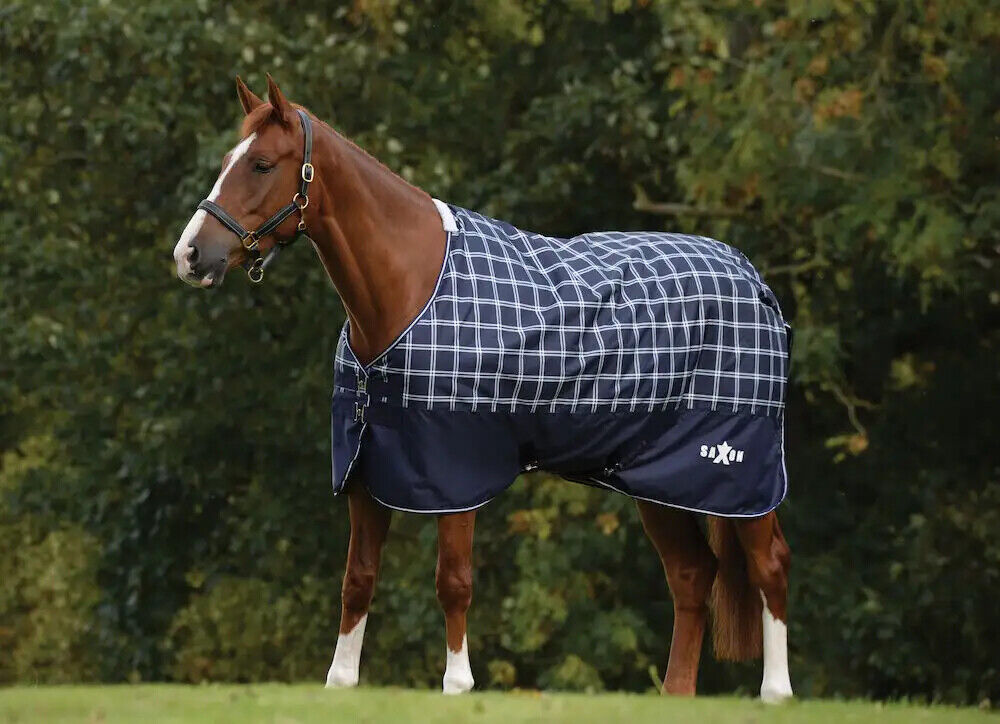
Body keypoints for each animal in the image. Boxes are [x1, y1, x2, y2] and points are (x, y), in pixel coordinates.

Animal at [172, 75, 793, 702]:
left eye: (261, 164)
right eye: (227, 162)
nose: (190, 255)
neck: (409, 285)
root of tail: (753, 280)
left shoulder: (456, 467)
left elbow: (454, 580)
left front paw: (457, 684)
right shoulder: (366, 468)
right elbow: (357, 579)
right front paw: (341, 682)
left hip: (740, 471)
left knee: (769, 566)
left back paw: (776, 694)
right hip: (658, 477)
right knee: (692, 575)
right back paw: (677, 694)